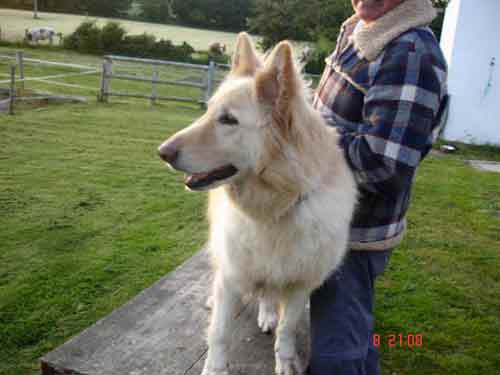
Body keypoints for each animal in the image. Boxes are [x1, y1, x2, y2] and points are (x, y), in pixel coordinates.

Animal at [158, 33, 358, 375]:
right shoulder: (230, 276)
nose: (162, 152)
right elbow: (219, 332)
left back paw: (267, 312)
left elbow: (287, 329)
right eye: (208, 111)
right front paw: (214, 367)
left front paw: (285, 359)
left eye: (228, 120)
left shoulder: (299, 284)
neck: (273, 206)